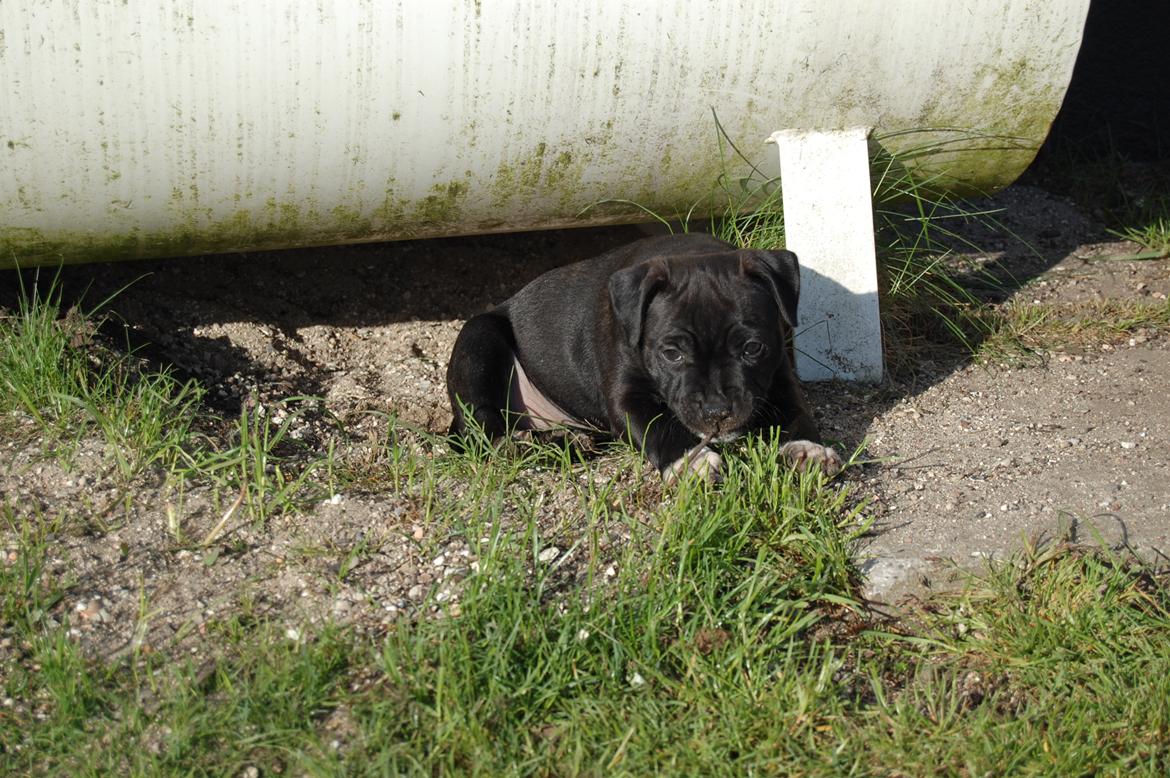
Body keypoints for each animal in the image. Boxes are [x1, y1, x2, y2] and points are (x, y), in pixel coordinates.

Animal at [446, 233, 842, 482]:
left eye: (753, 348)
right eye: (671, 353)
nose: (717, 412)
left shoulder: (777, 376)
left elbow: (796, 410)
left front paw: (809, 448)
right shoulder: (625, 398)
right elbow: (658, 425)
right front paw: (691, 462)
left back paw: (567, 440)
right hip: (480, 342)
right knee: (483, 432)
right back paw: (524, 445)